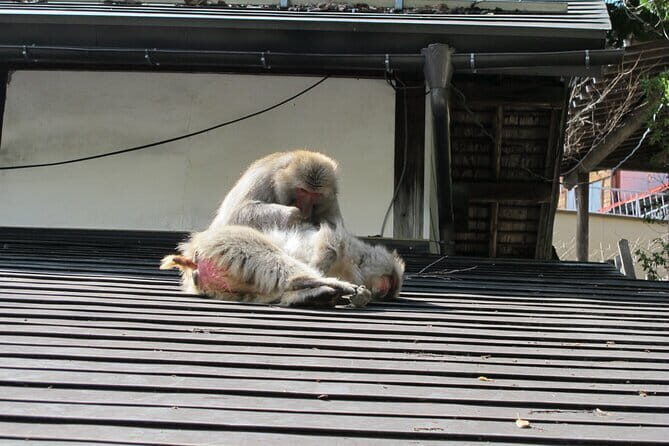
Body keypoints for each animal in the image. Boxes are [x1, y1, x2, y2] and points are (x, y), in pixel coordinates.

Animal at [209, 150, 343, 232]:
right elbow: (234, 215)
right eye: (303, 190)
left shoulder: (332, 204)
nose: (305, 210)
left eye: (315, 194)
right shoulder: (262, 179)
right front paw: (292, 216)